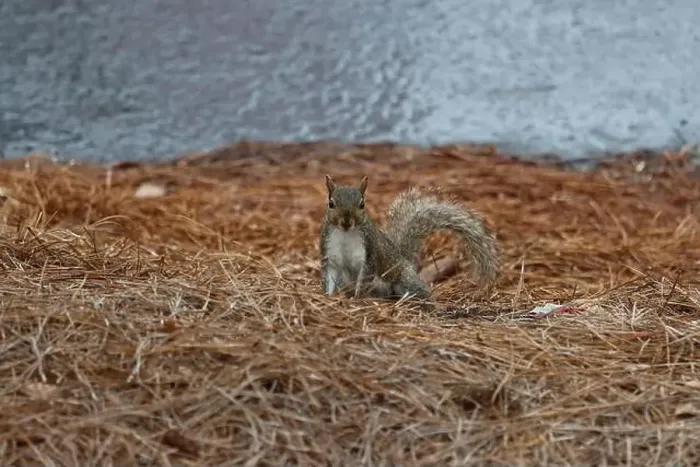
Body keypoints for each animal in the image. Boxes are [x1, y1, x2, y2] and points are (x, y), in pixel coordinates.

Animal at [319, 174, 499, 302]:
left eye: (362, 204)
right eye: (331, 203)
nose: (346, 221)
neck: (345, 234)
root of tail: (405, 260)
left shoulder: (369, 253)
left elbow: (365, 277)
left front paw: (357, 297)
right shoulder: (330, 255)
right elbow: (329, 277)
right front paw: (328, 296)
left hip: (405, 279)